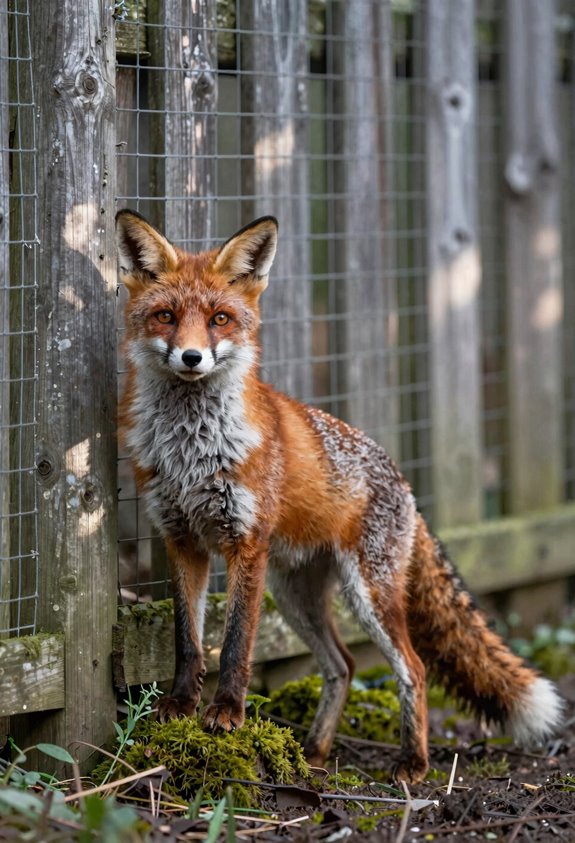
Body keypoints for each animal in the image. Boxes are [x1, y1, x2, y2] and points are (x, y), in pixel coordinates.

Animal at [116, 209, 563, 783]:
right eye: (166, 316)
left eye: (220, 319)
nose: (192, 357)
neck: (192, 448)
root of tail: (406, 485)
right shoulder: (182, 539)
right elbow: (187, 640)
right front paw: (180, 704)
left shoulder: (245, 543)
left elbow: (235, 642)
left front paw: (227, 712)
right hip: (295, 597)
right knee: (342, 666)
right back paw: (314, 752)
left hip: (367, 594)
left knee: (413, 669)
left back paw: (412, 763)